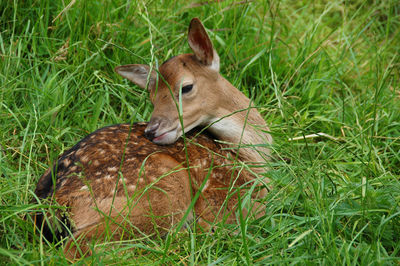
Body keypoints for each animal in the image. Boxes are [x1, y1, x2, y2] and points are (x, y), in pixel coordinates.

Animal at [33, 18, 272, 260]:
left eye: (186, 87)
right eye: (152, 97)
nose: (151, 130)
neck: (249, 156)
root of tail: (54, 202)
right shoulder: (229, 199)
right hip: (162, 187)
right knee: (79, 246)